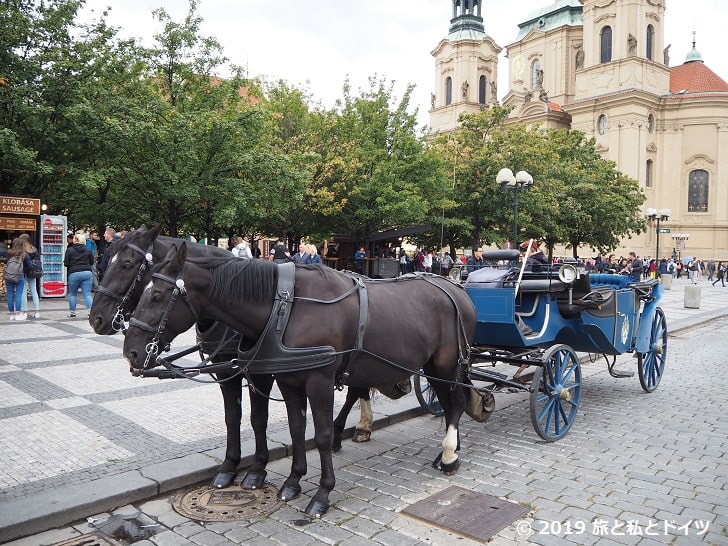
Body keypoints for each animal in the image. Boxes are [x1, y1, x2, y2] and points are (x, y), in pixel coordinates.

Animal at [87, 225, 376, 488]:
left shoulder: (259, 372)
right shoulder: (225, 369)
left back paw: (354, 428)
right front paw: (229, 465)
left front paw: (257, 468)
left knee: (355, 389)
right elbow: (232, 416)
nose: (96, 319)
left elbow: (258, 418)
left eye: (126, 264)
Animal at [123, 241, 478, 516]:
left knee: (457, 402)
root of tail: (457, 289)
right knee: (448, 404)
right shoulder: (287, 381)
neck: (287, 307)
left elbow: (320, 435)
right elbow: (295, 429)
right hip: (432, 367)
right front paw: (293, 481)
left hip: (446, 365)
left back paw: (449, 456)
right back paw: (447, 452)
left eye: (157, 296)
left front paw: (322, 493)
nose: (131, 352)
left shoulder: (319, 381)